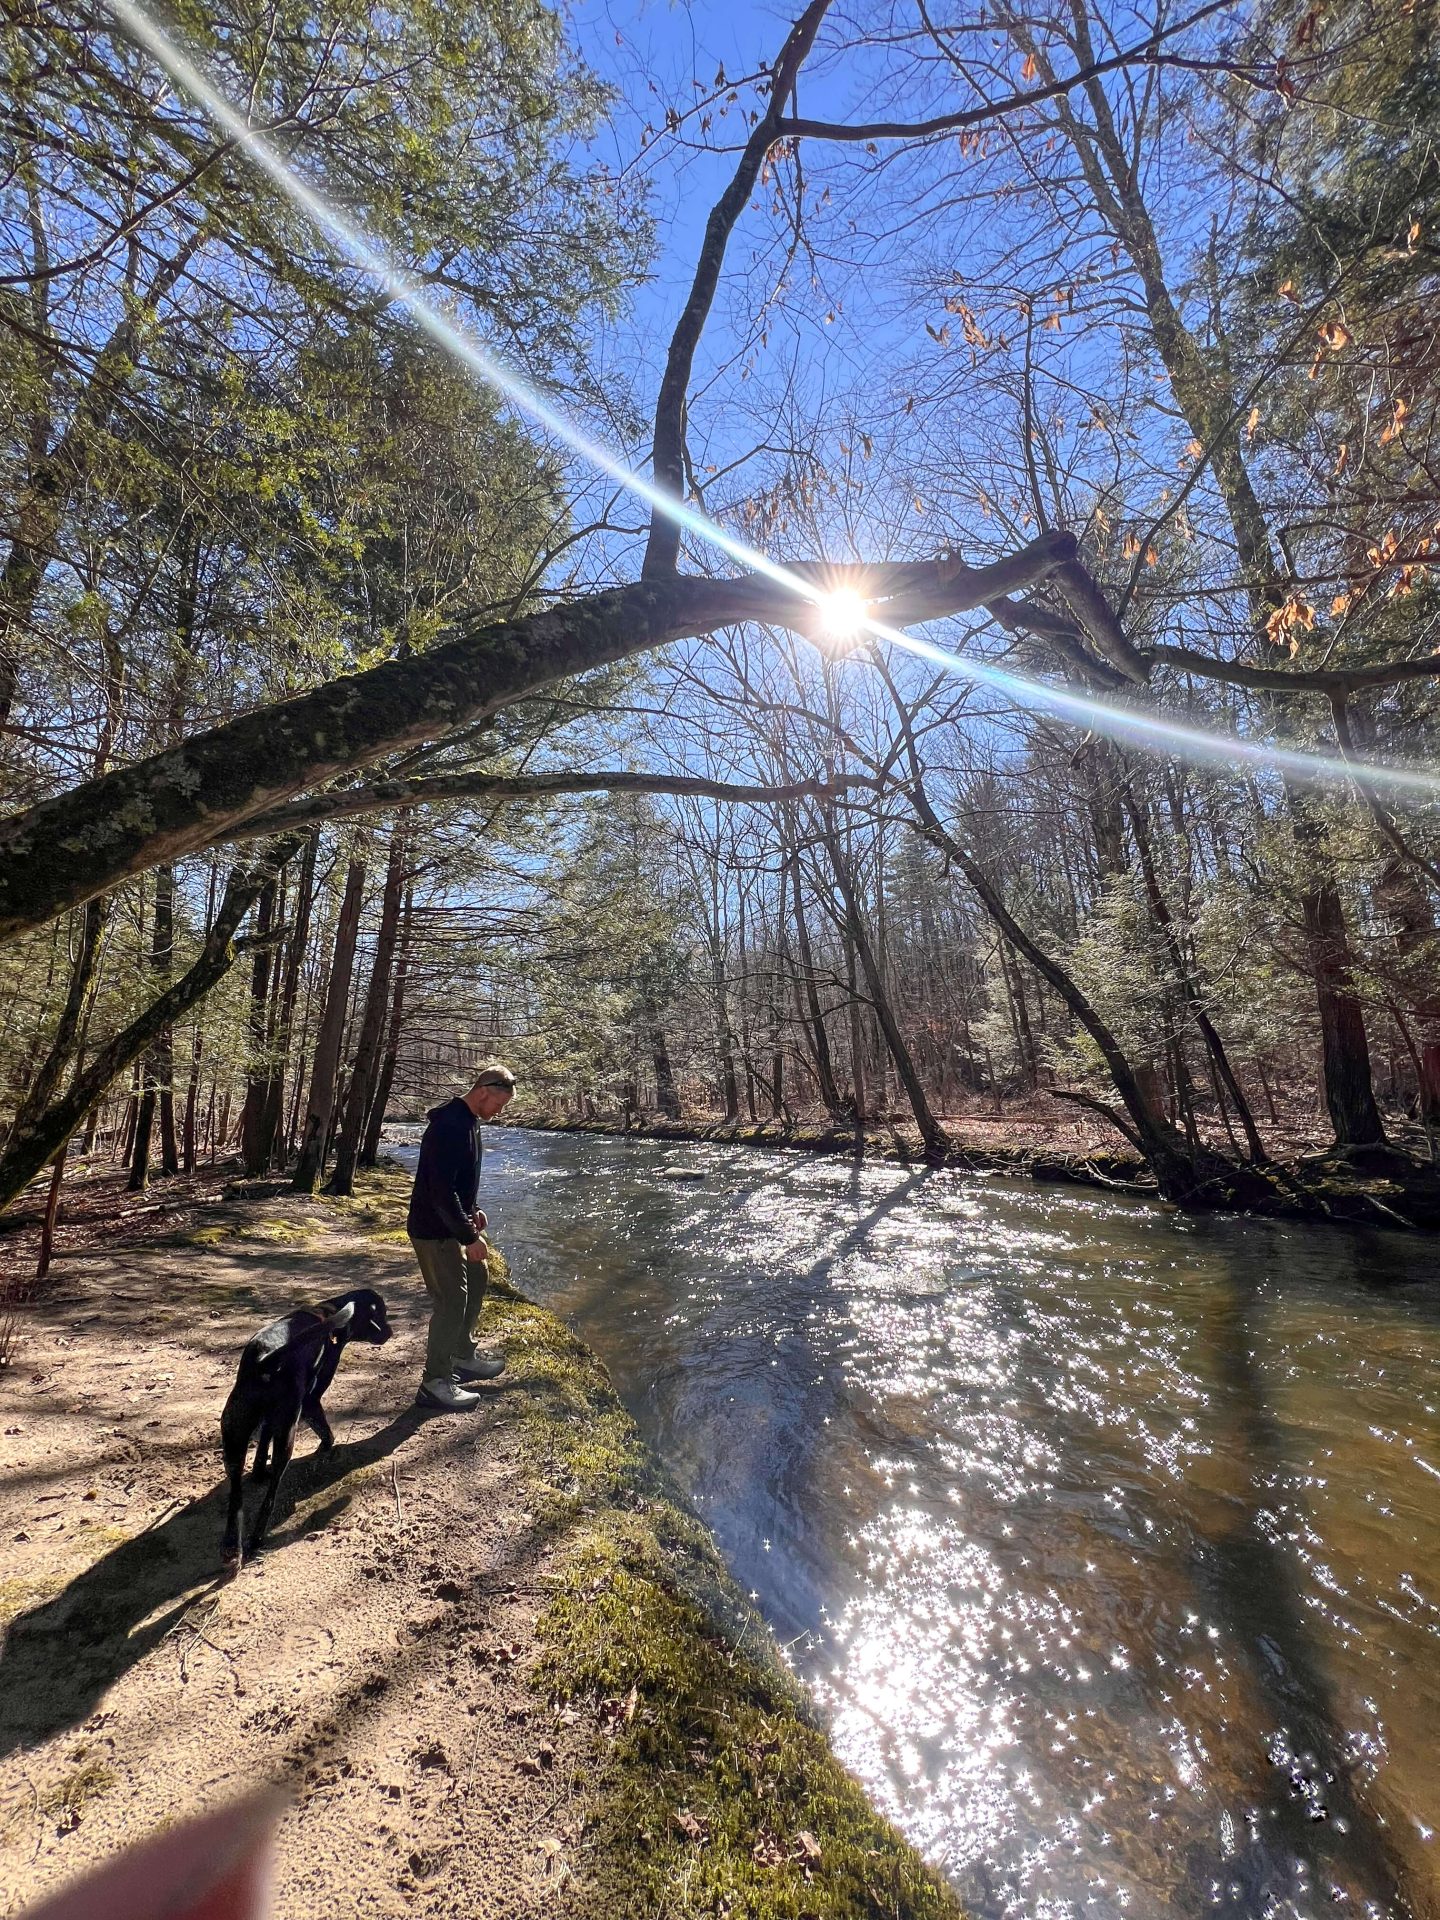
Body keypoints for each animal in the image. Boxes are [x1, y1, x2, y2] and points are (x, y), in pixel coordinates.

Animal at [219, 1282, 391, 1566]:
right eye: (381, 1314)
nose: (390, 1331)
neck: (330, 1311)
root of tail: (266, 1360)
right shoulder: (311, 1401)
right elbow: (325, 1429)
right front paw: (327, 1446)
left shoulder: (270, 1423)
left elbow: (262, 1445)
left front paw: (258, 1471)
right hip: (286, 1437)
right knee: (268, 1500)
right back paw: (256, 1539)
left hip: (234, 1441)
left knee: (236, 1501)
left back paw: (233, 1548)